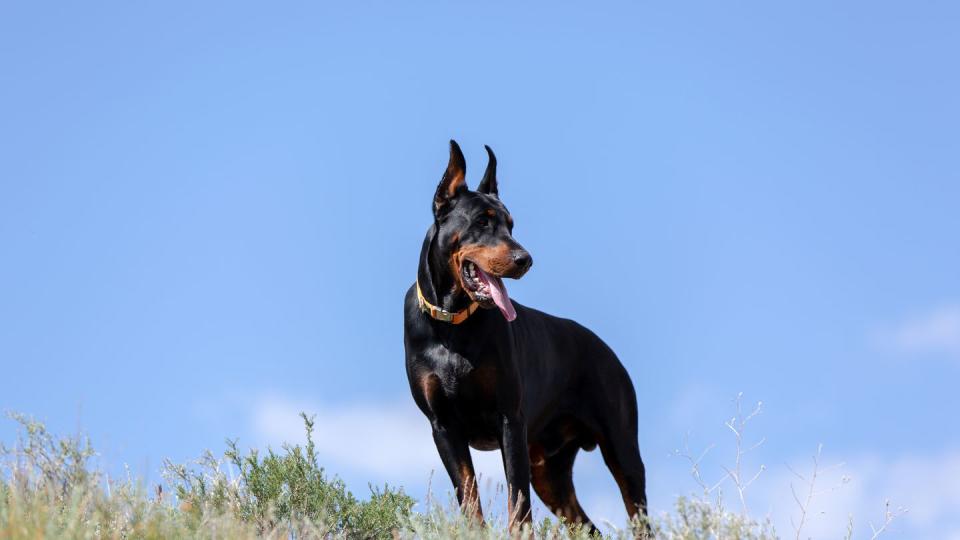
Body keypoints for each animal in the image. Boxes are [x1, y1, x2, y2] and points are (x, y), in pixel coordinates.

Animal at [402, 140, 648, 532]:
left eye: (511, 224)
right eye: (482, 221)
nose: (525, 259)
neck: (452, 325)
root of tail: (608, 351)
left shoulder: (510, 420)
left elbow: (518, 503)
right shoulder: (443, 427)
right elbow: (469, 500)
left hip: (622, 448)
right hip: (549, 471)